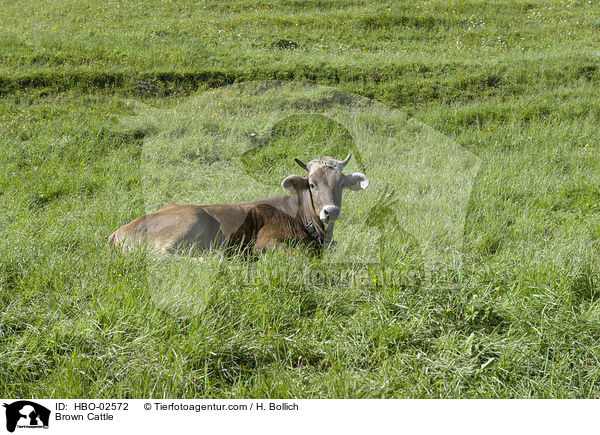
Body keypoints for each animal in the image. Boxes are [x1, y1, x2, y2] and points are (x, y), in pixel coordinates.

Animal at [108, 154, 370, 254]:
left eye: (341, 184)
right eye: (312, 184)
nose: (331, 211)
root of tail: (119, 231)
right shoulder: (265, 243)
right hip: (192, 220)